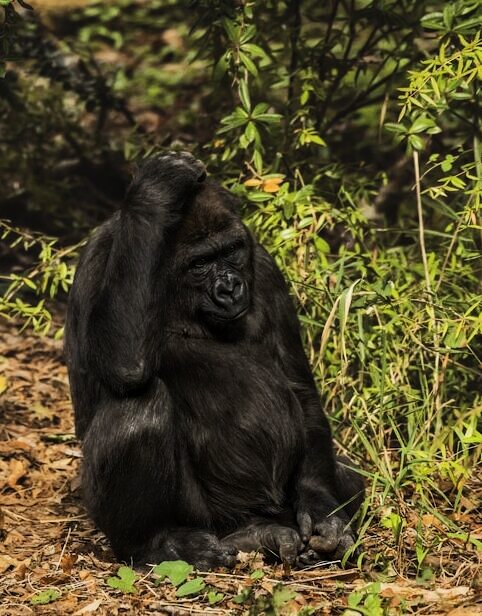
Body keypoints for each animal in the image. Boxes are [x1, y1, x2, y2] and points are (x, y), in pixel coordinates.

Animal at [65, 152, 366, 572]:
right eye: (201, 263)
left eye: (231, 251)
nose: (230, 288)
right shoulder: (100, 255)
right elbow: (124, 364)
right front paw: (155, 193)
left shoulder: (264, 267)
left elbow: (300, 390)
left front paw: (324, 513)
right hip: (203, 515)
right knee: (141, 406)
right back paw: (157, 545)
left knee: (348, 477)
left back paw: (258, 536)